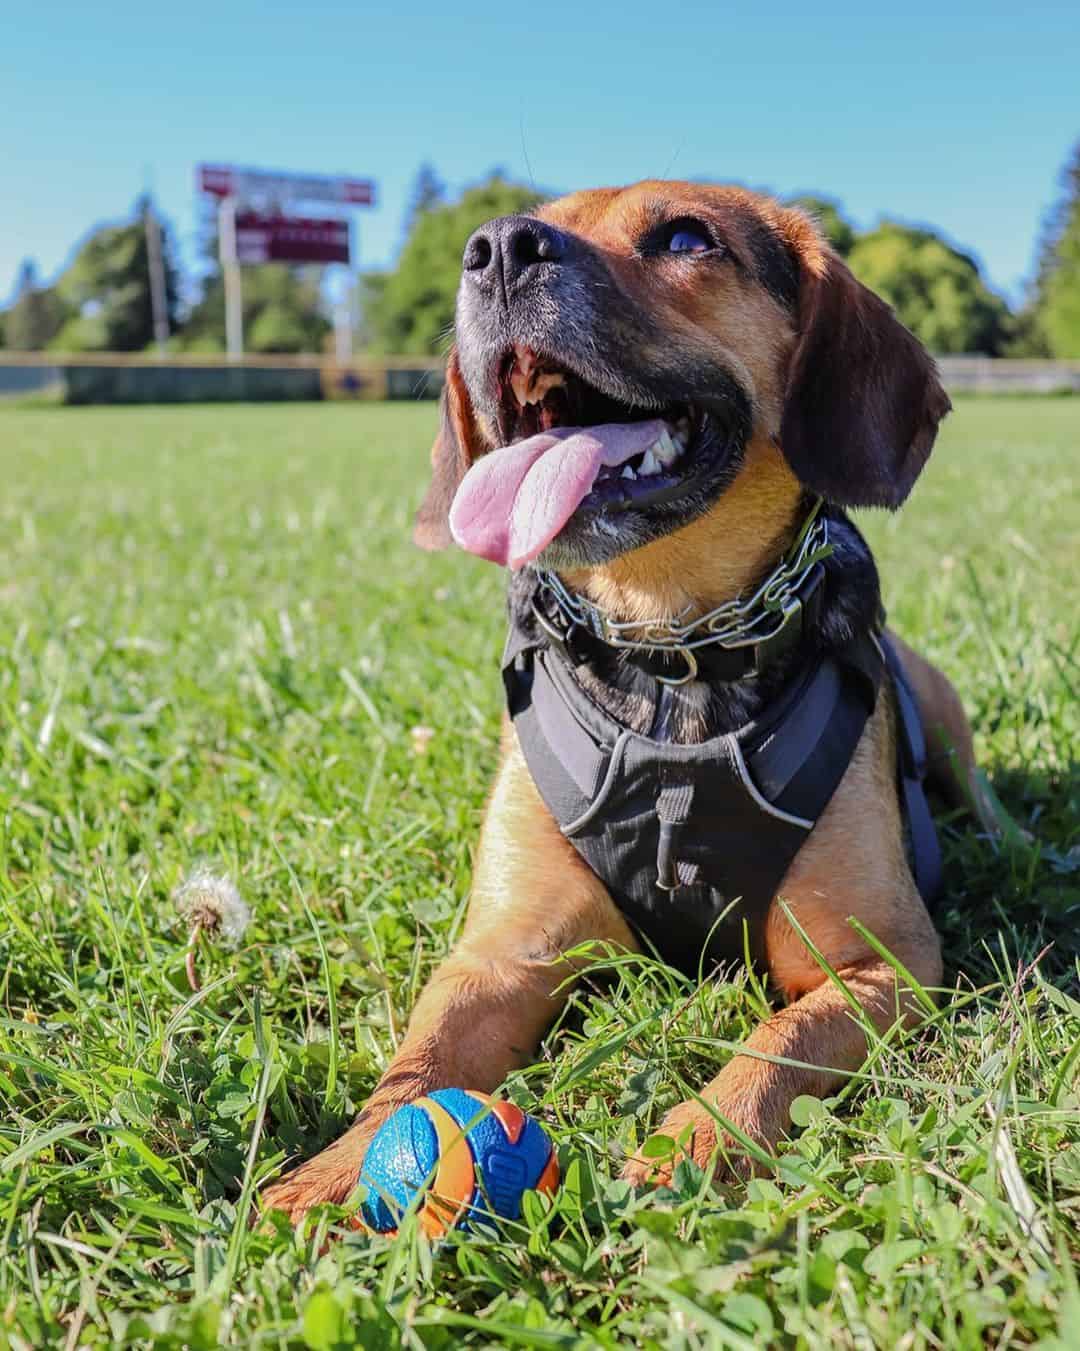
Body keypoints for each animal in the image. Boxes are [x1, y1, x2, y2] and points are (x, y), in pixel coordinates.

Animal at [263, 182, 1005, 1226]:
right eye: (507, 229)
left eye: (686, 237)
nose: (496, 248)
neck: (668, 650)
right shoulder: (500, 954)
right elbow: (415, 1069)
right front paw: (336, 1171)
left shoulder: (877, 965)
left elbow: (770, 1045)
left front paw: (694, 1142)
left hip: (940, 711)